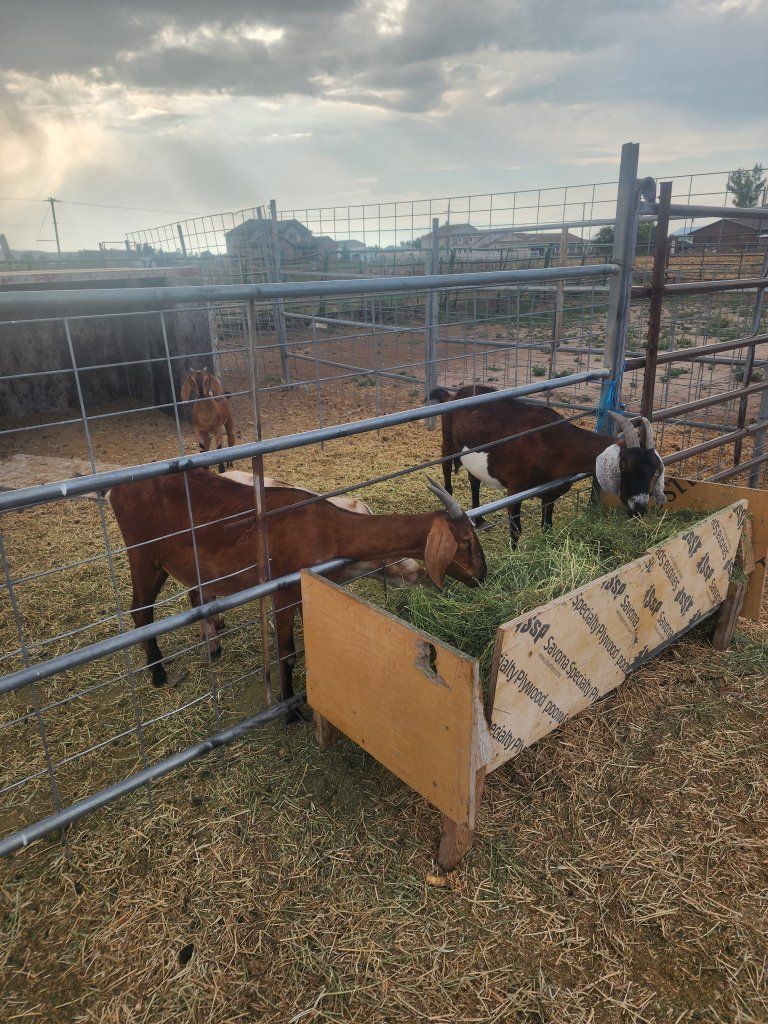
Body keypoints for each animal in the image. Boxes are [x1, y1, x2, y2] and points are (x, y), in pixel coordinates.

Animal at [430, 384, 666, 543]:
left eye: (654, 470)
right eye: (624, 465)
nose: (640, 507)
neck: (555, 444)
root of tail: (454, 395)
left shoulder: (550, 493)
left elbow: (547, 525)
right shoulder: (515, 488)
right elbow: (516, 530)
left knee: (474, 480)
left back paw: (479, 520)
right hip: (447, 443)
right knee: (446, 473)